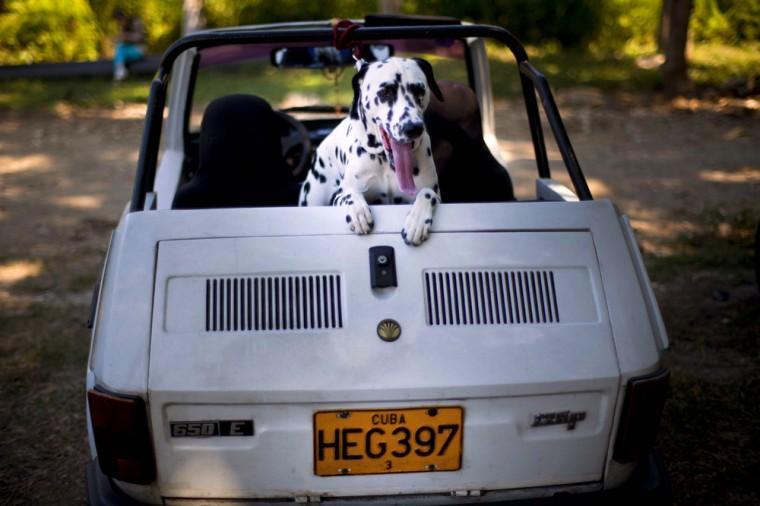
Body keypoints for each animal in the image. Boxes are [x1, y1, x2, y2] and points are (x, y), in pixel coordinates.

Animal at [296, 57, 442, 247]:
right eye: (385, 92)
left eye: (419, 90)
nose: (413, 128)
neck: (385, 162)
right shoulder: (339, 196)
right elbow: (349, 194)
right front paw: (358, 212)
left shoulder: (435, 194)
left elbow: (427, 193)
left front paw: (416, 222)